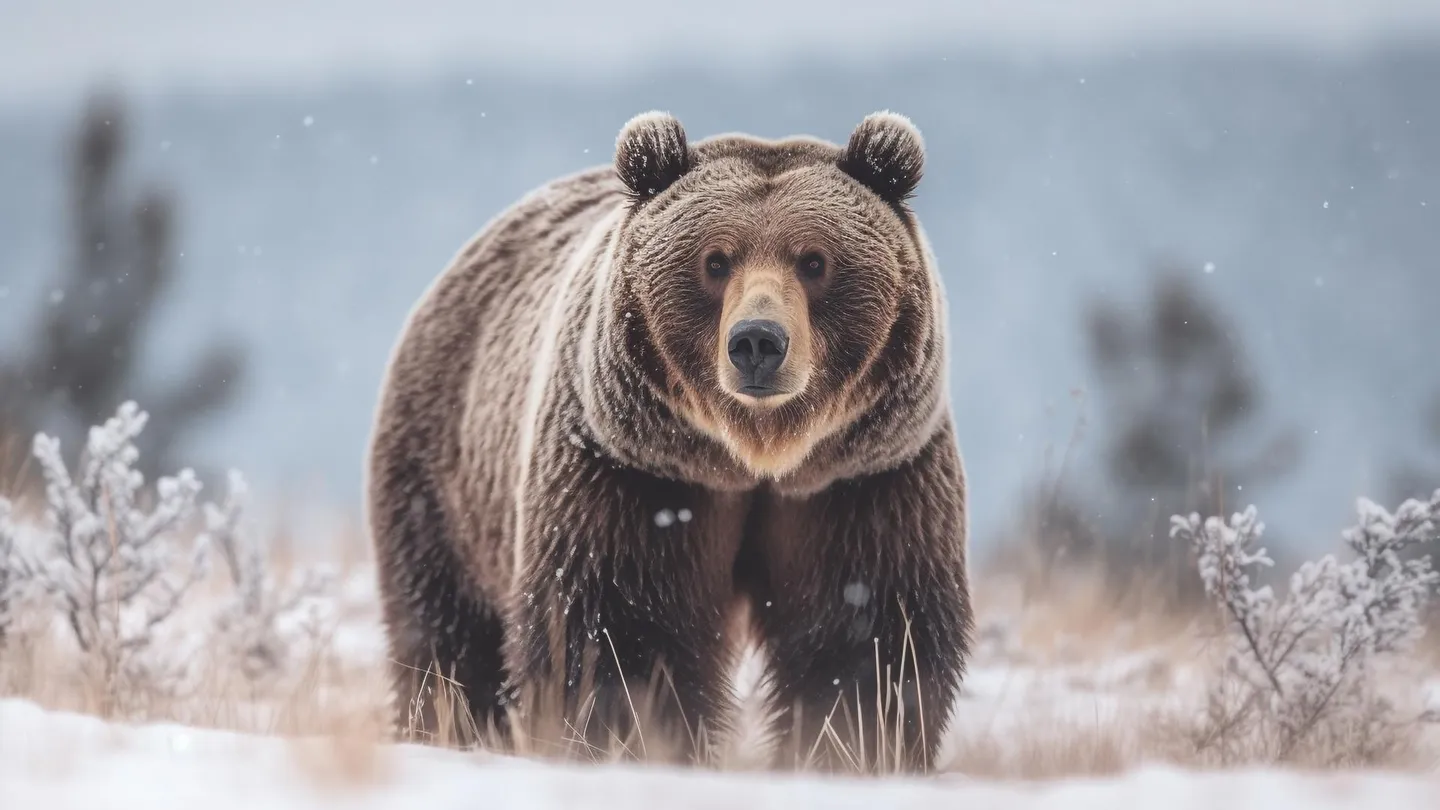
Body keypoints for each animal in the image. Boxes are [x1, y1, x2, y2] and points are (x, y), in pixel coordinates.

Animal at [368, 108, 979, 766]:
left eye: (815, 261)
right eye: (716, 261)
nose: (758, 341)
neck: (753, 458)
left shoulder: (862, 478)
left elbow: (866, 629)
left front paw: (850, 748)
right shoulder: (634, 473)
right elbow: (622, 629)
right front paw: (637, 738)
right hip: (446, 474)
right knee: (447, 634)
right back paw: (451, 727)